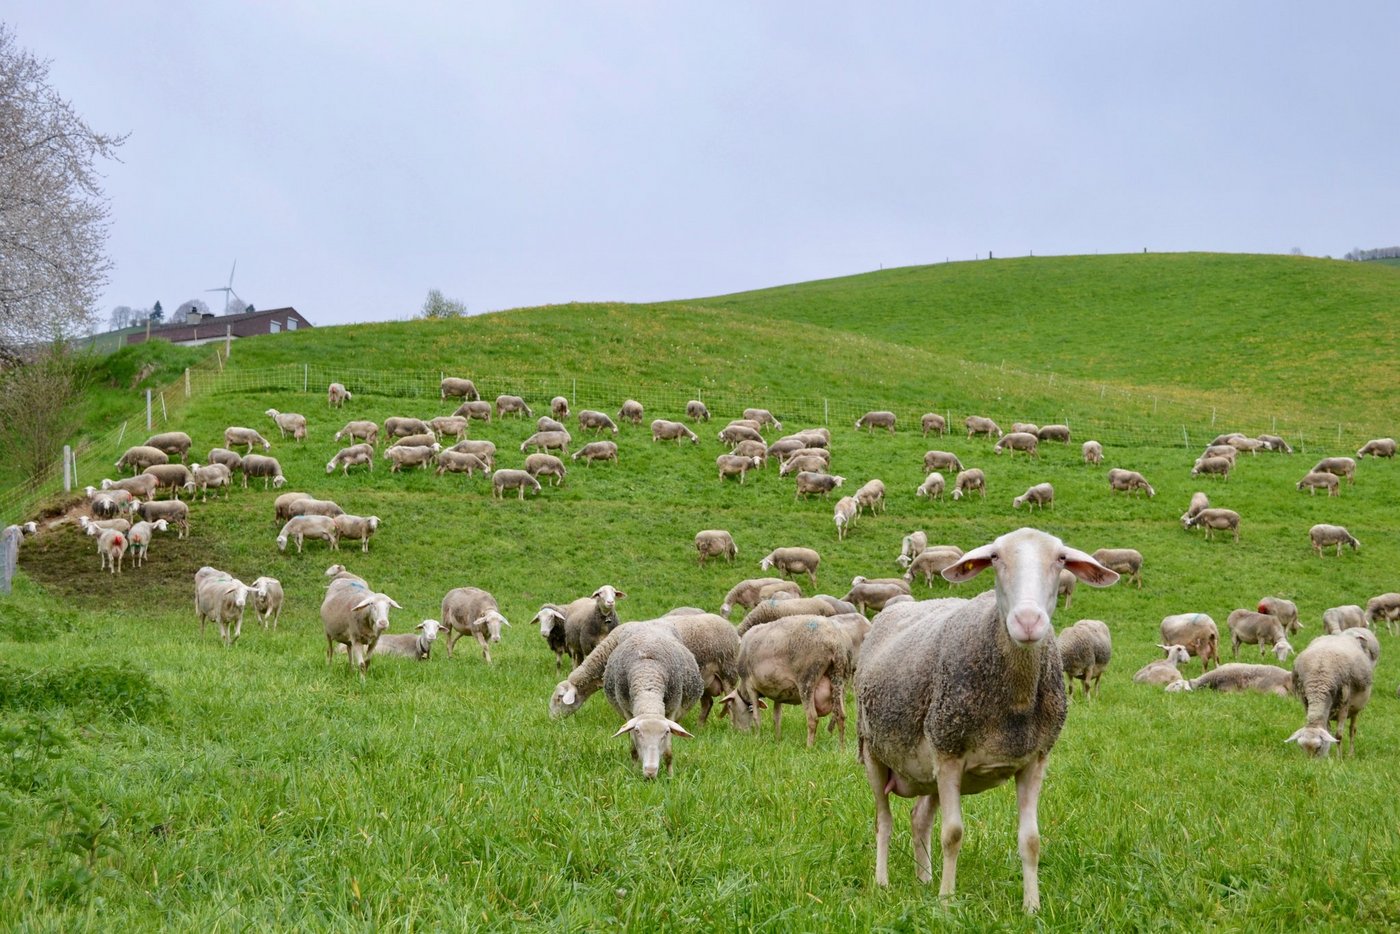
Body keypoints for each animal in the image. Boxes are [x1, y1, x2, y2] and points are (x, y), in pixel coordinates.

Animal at [549, 613, 740, 727]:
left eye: (559, 698)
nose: (551, 720)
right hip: (705, 679)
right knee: (707, 704)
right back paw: (700, 727)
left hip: (728, 670)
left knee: (730, 700)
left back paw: (732, 726)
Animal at [721, 614, 867, 747]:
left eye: (730, 706)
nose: (738, 732)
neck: (743, 689)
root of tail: (836, 641)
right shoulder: (777, 692)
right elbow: (777, 718)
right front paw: (777, 740)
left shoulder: (751, 686)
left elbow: (757, 717)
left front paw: (757, 739)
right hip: (840, 677)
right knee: (840, 715)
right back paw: (841, 748)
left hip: (807, 679)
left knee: (812, 718)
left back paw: (809, 748)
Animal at [855, 527, 1118, 911]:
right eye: (995, 557)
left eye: (1061, 559)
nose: (1028, 621)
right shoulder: (949, 754)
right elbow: (952, 834)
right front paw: (947, 902)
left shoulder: (1034, 760)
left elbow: (1031, 840)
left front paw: (1032, 907)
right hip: (874, 750)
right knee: (883, 821)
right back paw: (882, 882)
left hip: (928, 768)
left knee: (919, 819)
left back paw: (924, 879)